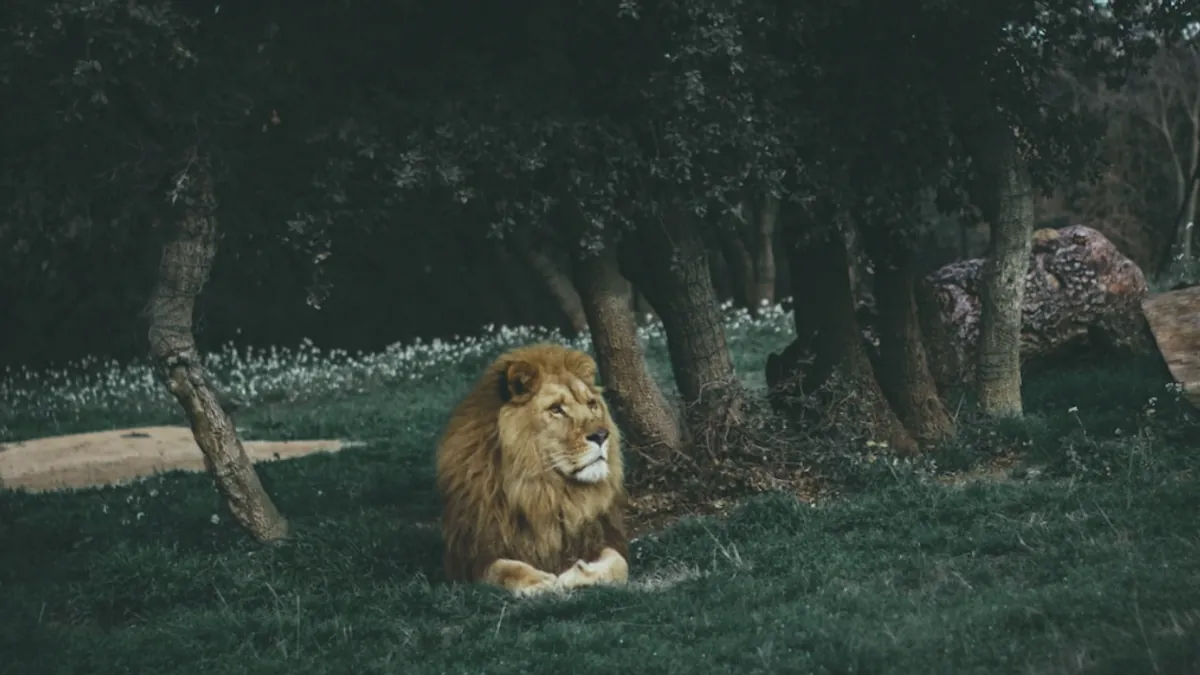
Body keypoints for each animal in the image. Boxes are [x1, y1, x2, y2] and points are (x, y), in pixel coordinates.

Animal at [434, 343, 630, 597]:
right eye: (556, 409)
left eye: (591, 405)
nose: (601, 435)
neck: (547, 490)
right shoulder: (470, 557)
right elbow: (502, 569)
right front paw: (539, 581)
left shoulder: (605, 536)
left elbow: (619, 563)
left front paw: (579, 574)